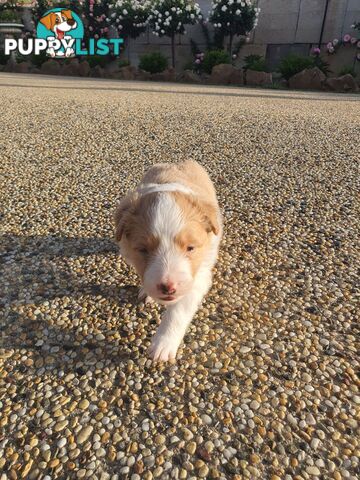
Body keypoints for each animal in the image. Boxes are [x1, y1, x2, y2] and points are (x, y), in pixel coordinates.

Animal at [114, 161, 222, 360]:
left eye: (190, 248)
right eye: (143, 250)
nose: (168, 287)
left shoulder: (198, 277)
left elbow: (178, 311)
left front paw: (163, 344)